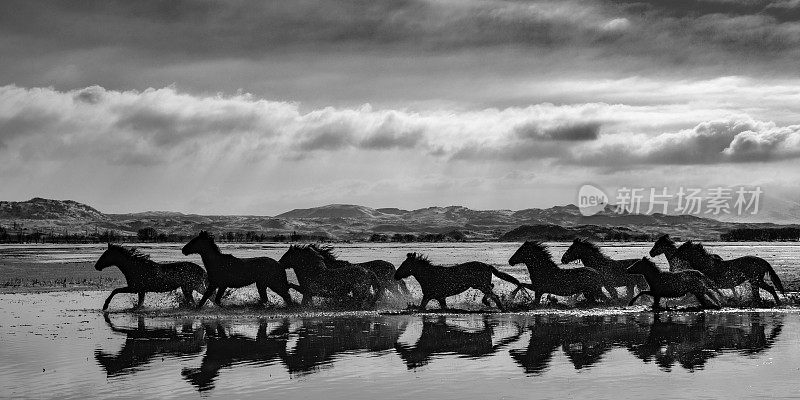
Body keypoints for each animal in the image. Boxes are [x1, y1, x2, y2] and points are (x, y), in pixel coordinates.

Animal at [390, 252, 520, 310]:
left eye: (404, 264)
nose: (395, 276)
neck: (428, 275)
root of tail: (487, 265)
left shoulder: (429, 296)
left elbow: (421, 308)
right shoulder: (439, 298)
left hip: (481, 285)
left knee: (494, 295)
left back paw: (499, 307)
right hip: (480, 285)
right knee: (491, 288)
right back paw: (487, 302)